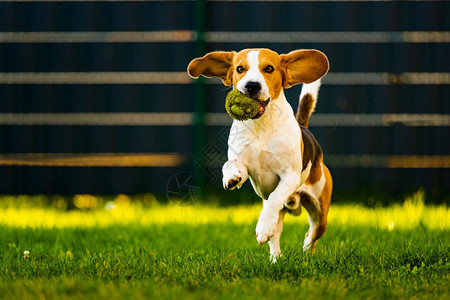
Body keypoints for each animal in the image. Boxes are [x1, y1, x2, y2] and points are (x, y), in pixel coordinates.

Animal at [188, 48, 332, 262]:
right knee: (276, 233)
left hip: (320, 211)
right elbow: (229, 165)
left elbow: (274, 198)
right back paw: (275, 259)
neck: (261, 125)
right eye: (240, 68)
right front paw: (230, 177)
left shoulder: (289, 176)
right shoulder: (243, 164)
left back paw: (305, 252)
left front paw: (263, 227)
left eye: (269, 68)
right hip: (283, 214)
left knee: (311, 232)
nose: (252, 86)